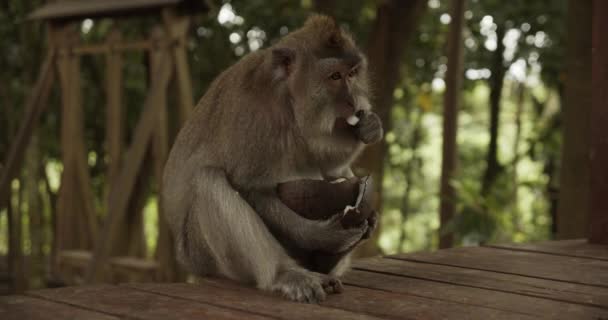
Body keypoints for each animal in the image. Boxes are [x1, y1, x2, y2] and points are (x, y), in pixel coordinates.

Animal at [159, 14, 382, 302]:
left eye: (353, 74)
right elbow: (252, 188)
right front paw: (323, 236)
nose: (354, 102)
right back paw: (286, 274)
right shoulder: (254, 116)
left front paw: (371, 127)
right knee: (208, 180)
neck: (287, 101)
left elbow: (332, 168)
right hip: (204, 256)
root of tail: (186, 260)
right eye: (334, 76)